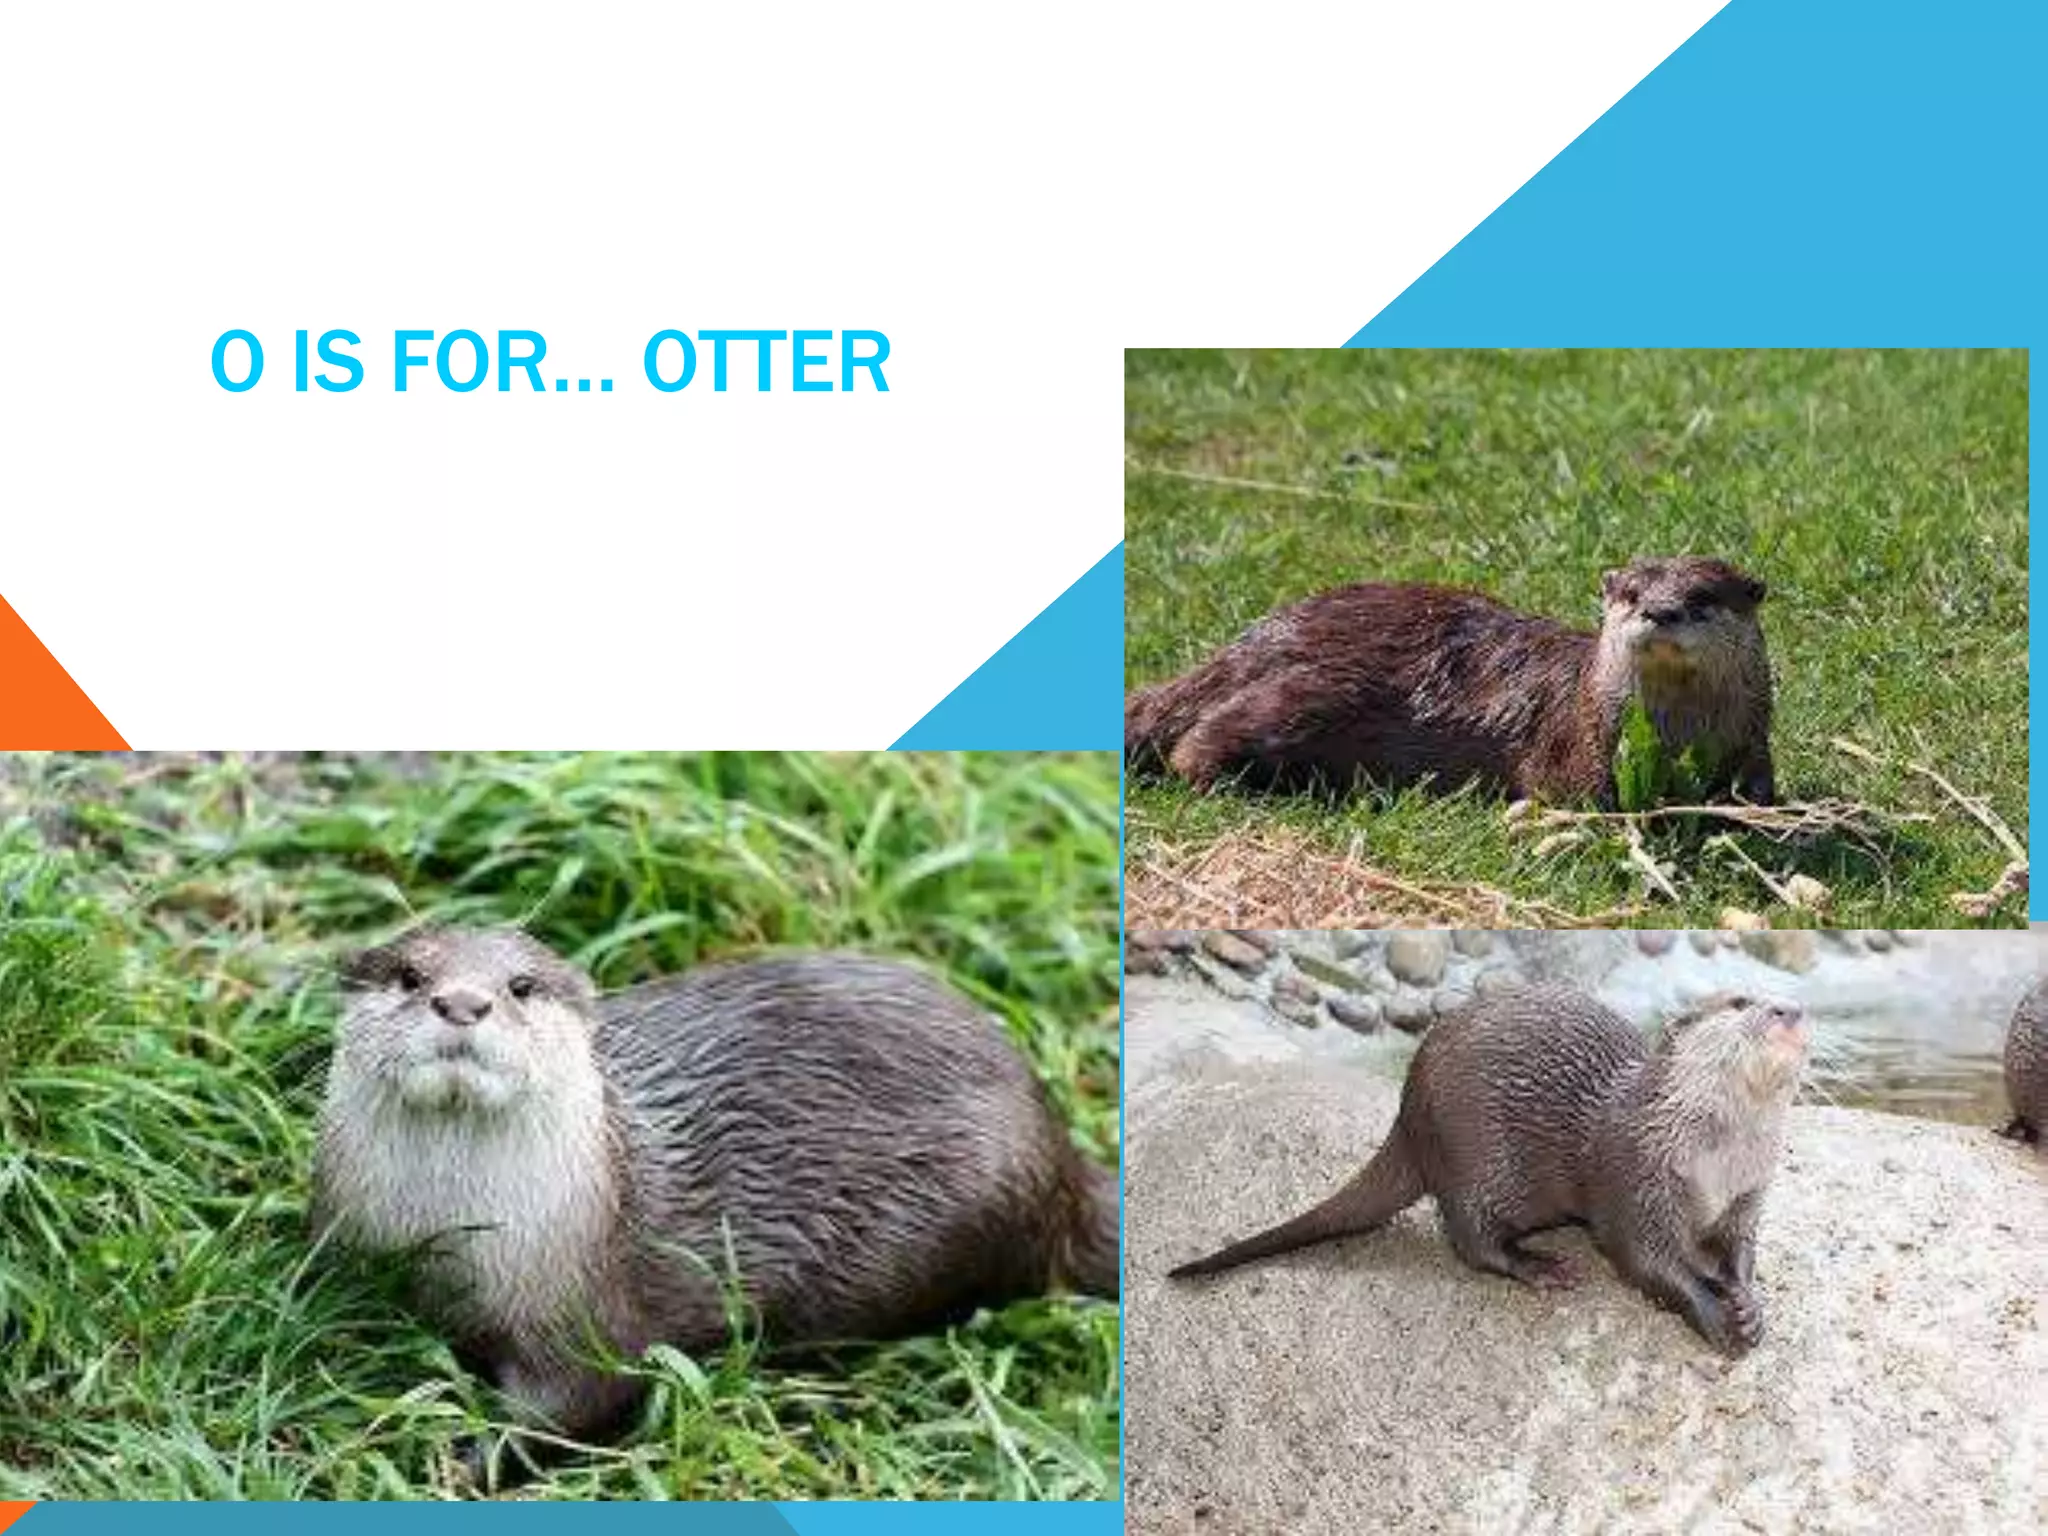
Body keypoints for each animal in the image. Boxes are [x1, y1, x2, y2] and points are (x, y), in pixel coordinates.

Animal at [311, 924, 1119, 1448]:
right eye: (410, 976)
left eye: (520, 987)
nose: (462, 1003)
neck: (448, 1240)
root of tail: (1063, 1161)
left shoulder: (589, 1317)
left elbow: (569, 1407)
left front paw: (458, 1461)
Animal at [1126, 556, 1775, 805]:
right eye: (1633, 593)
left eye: (1702, 597)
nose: (1660, 612)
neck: (1680, 734)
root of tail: (1259, 637)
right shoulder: (1577, 741)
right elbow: (1577, 795)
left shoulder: (1751, 740)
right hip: (1307, 693)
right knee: (1200, 738)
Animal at [1168, 986, 1807, 1355]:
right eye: (1739, 1004)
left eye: (1782, 1000)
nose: (1792, 1009)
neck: (1717, 1159)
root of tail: (1408, 1112)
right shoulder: (1633, 1178)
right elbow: (1646, 1261)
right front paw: (1715, 1315)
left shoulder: (1749, 1194)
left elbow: (1741, 1252)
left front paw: (1746, 1303)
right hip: (1476, 1161)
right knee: (1469, 1239)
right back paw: (1539, 1266)